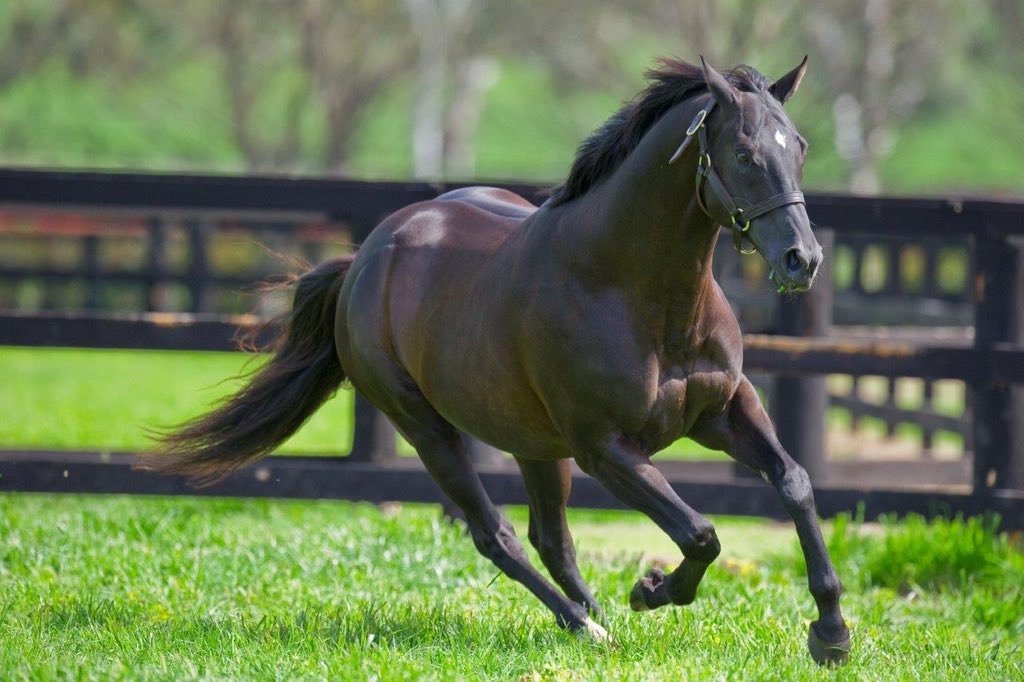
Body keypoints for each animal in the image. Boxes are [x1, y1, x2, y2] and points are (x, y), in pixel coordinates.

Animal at [150, 56, 851, 665]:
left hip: (533, 443)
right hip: (428, 428)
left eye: (800, 147)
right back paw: (588, 626)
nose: (803, 260)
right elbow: (701, 533)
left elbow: (794, 482)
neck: (635, 293)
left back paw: (595, 619)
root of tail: (366, 258)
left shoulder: (725, 410)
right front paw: (651, 590)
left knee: (552, 541)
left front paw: (831, 633)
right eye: (744, 153)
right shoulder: (607, 450)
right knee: (498, 536)